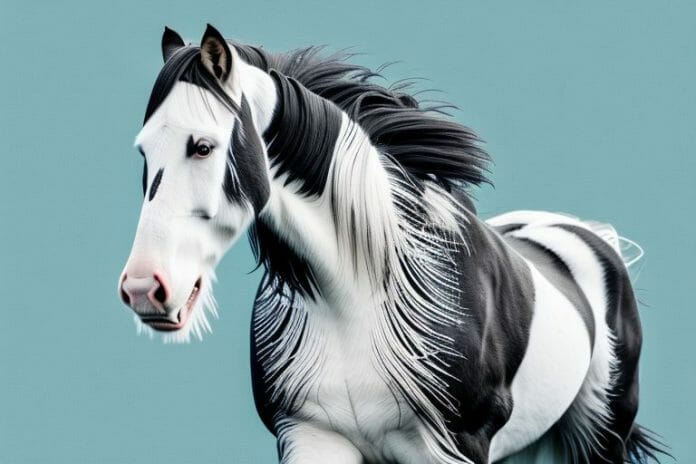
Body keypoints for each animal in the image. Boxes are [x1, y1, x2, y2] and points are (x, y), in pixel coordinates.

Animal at [118, 24, 666, 464]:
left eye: (202, 146)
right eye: (143, 151)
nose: (145, 289)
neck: (353, 301)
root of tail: (589, 234)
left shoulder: (453, 446)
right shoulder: (309, 436)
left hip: (600, 435)